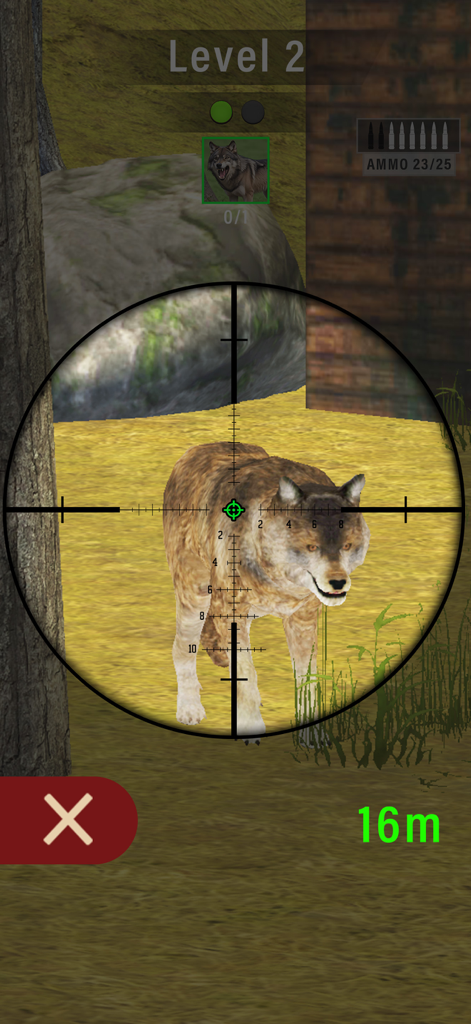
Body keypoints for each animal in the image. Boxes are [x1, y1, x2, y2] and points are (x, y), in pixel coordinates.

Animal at [163, 442, 370, 743]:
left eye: (347, 545)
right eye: (311, 547)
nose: (338, 583)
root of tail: (191, 452)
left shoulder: (302, 619)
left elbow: (307, 679)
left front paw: (311, 736)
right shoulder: (233, 615)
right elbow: (247, 675)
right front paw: (250, 727)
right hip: (196, 596)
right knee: (181, 648)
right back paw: (190, 709)